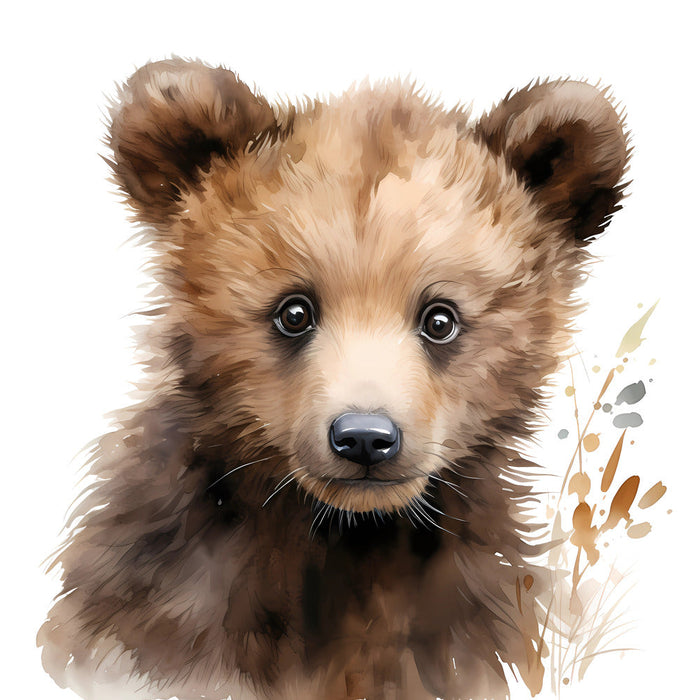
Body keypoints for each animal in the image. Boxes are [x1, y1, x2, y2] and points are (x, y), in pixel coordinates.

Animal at [38, 58, 629, 700]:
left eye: (440, 318)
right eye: (294, 311)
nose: (365, 438)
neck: (347, 538)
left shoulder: (464, 621)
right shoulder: (168, 598)